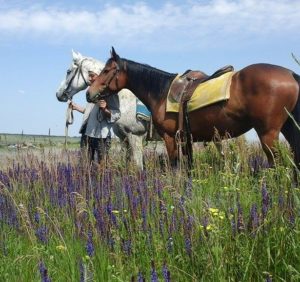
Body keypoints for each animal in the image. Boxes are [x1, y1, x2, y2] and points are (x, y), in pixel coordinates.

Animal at [85, 47, 300, 169]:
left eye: (106, 70)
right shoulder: (185, 139)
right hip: (288, 128)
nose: (89, 93)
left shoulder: (169, 138)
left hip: (268, 133)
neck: (161, 92)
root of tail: (291, 74)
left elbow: (174, 166)